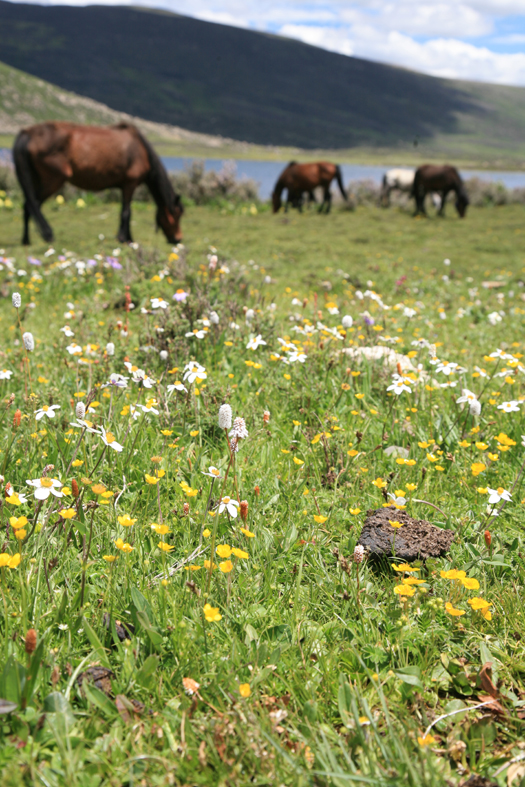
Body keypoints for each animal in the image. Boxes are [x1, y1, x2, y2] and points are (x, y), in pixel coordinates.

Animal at [12, 121, 184, 245]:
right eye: (177, 215)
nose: (178, 239)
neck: (140, 149)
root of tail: (28, 133)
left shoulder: (125, 186)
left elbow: (125, 211)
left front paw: (127, 238)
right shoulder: (130, 184)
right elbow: (126, 212)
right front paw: (124, 238)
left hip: (37, 179)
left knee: (29, 205)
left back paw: (26, 240)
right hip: (53, 180)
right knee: (32, 204)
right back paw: (46, 235)